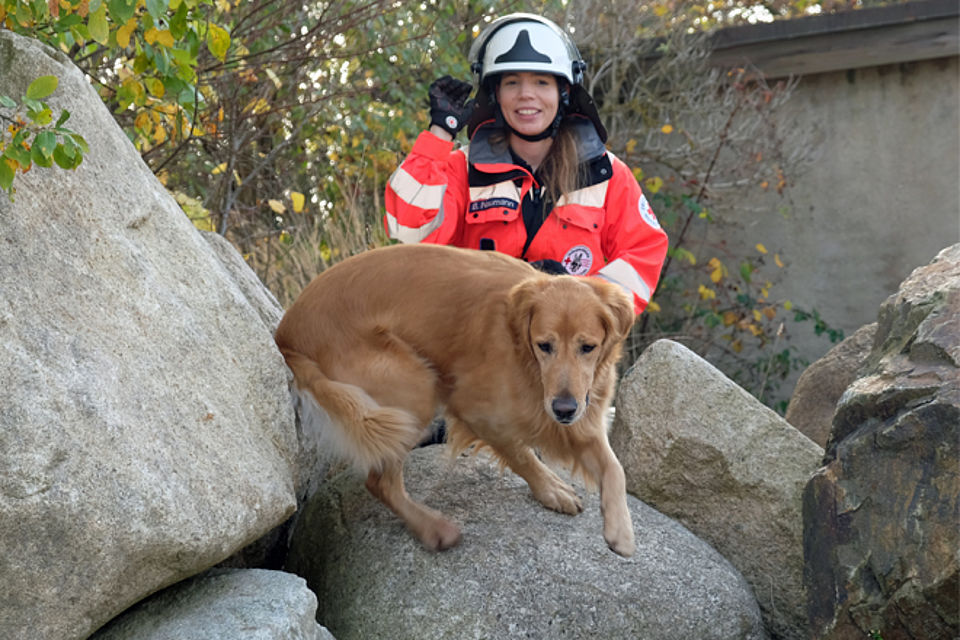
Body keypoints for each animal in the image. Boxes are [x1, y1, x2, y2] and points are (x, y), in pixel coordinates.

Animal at [274, 244, 636, 556]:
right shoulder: (474, 409)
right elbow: (520, 454)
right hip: (416, 389)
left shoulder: (582, 419)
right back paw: (432, 528)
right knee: (380, 482)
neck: (527, 362)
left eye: (588, 347)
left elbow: (615, 468)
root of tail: (286, 336)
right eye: (544, 345)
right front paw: (551, 489)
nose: (563, 410)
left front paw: (621, 530)